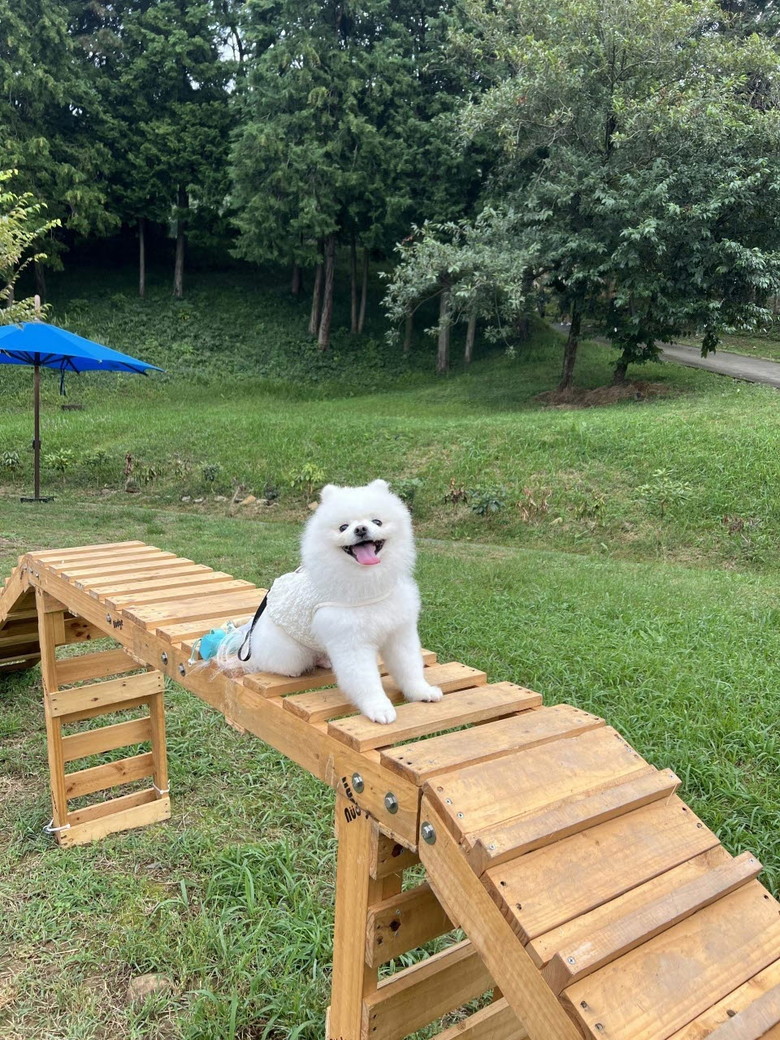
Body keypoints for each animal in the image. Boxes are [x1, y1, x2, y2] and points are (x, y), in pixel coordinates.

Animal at [217, 479, 442, 723]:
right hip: (289, 651)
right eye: (343, 527)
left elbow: (409, 667)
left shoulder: (399, 632)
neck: (368, 586)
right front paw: (379, 709)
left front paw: (421, 692)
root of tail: (252, 634)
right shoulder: (351, 642)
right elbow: (366, 681)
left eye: (377, 521)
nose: (360, 529)